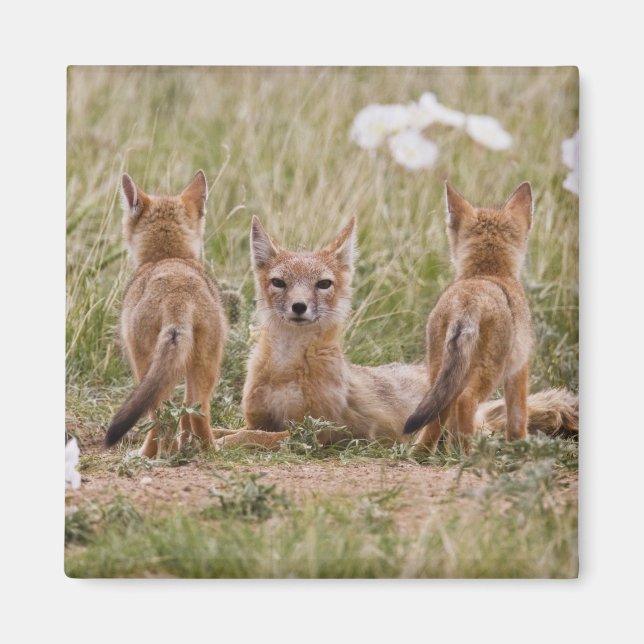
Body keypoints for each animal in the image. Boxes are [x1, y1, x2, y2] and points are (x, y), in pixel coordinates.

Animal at [104, 170, 228, 457]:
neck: (168, 257)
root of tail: (177, 294)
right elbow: (184, 416)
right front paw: (184, 447)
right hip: (205, 365)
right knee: (197, 411)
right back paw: (208, 451)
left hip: (145, 366)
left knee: (159, 415)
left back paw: (147, 455)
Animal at [215, 214, 577, 451]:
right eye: (279, 282)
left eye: (323, 284)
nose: (299, 306)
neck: (286, 369)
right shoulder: (258, 419)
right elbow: (228, 429)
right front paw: (207, 439)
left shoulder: (315, 431)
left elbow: (248, 438)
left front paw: (221, 444)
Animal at [404, 181, 539, 449]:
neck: (488, 273)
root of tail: (468, 300)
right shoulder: (519, 369)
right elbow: (518, 416)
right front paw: (520, 445)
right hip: (490, 372)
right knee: (465, 402)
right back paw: (469, 452)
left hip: (439, 373)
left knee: (440, 413)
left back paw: (424, 452)